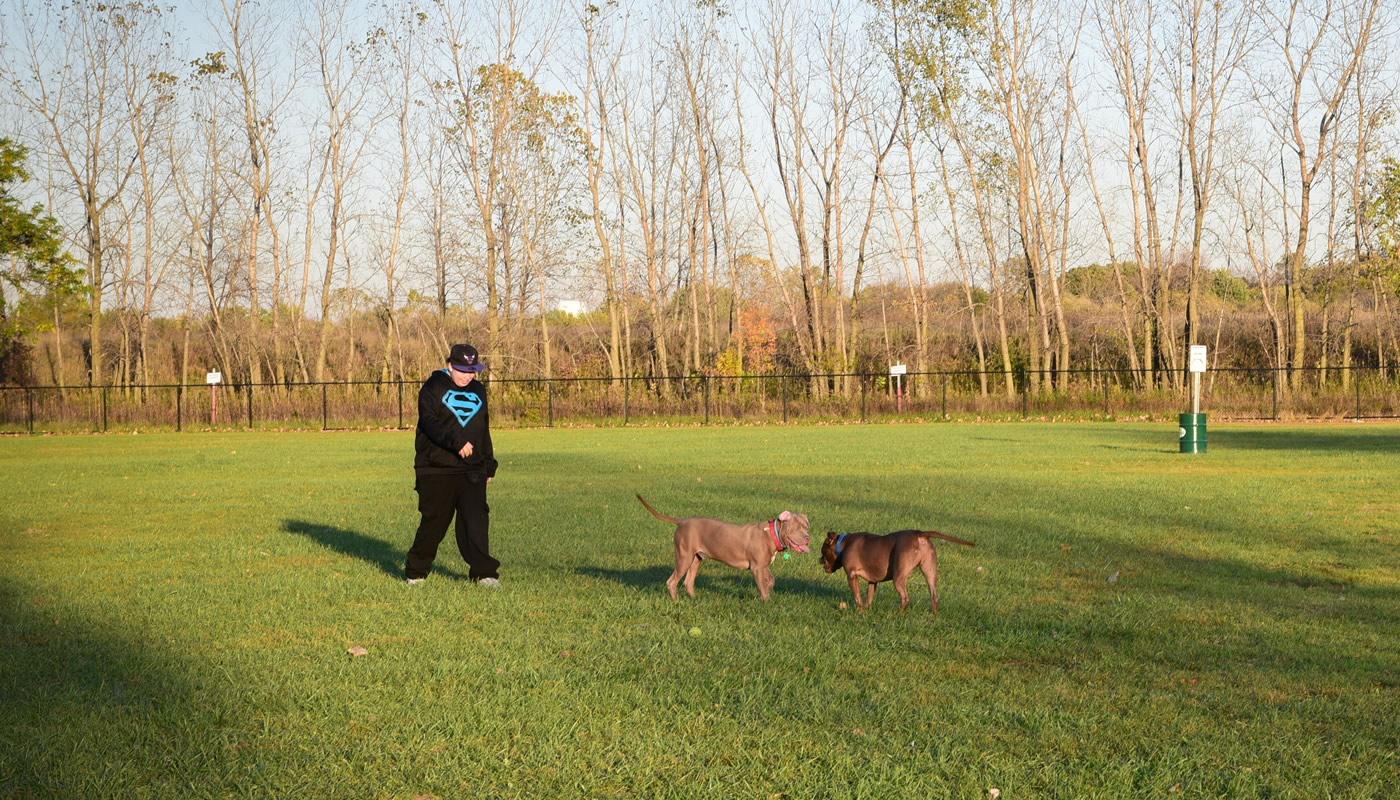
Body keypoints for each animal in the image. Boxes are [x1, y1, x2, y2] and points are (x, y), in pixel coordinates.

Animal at [635, 495, 812, 599]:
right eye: (796, 527)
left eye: (806, 527)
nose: (808, 537)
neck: (772, 533)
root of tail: (683, 521)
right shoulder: (757, 568)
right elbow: (762, 586)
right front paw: (766, 602)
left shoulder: (763, 565)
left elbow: (771, 580)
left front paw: (769, 589)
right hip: (684, 557)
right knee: (672, 581)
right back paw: (676, 601)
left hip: (696, 559)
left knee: (688, 581)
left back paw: (694, 599)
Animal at [817, 529, 974, 616]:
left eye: (823, 550)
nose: (819, 560)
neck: (842, 545)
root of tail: (919, 534)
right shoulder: (872, 581)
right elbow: (869, 597)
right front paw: (867, 610)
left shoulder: (851, 576)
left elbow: (857, 598)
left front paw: (859, 611)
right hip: (929, 572)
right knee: (934, 595)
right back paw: (932, 616)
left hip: (899, 577)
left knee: (905, 597)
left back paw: (898, 615)